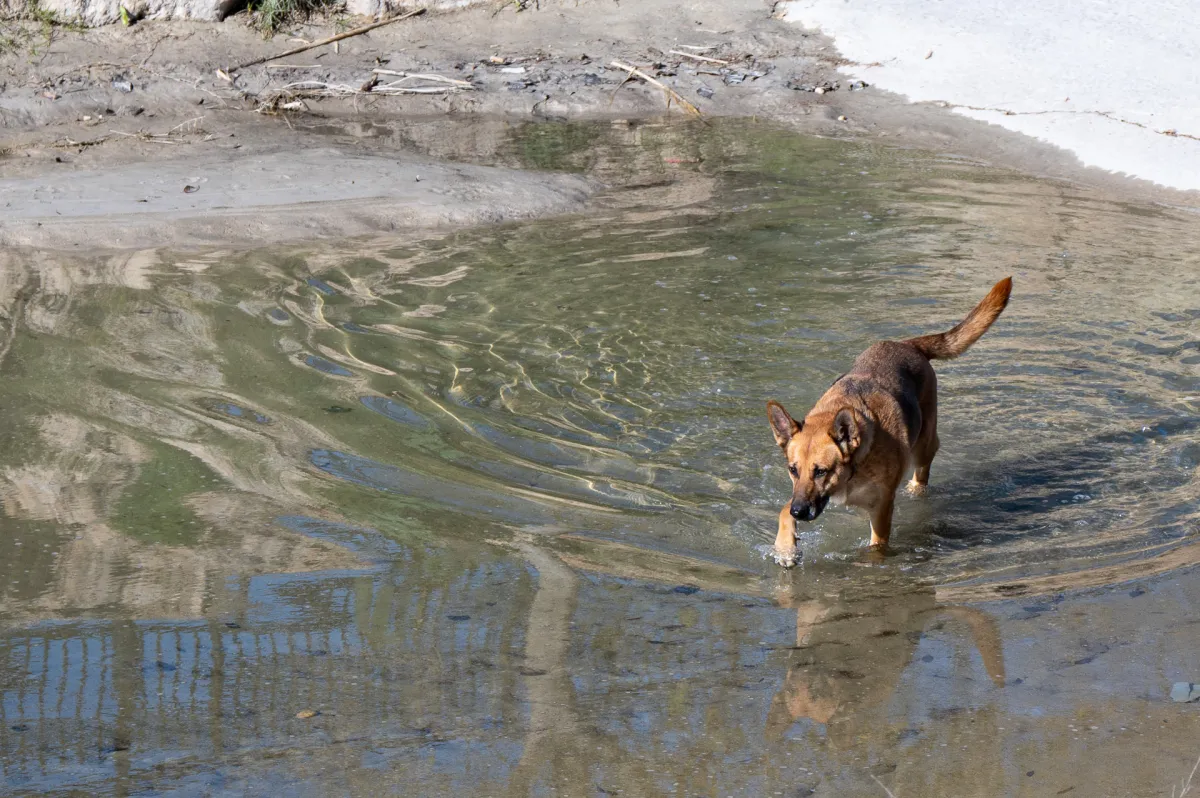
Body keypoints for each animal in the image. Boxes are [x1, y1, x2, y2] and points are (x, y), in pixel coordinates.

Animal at [763, 277, 1008, 564]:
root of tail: (909, 345)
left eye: (821, 471)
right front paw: (785, 547)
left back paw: (916, 488)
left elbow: (877, 545)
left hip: (923, 445)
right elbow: (782, 510)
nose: (799, 512)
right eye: (793, 470)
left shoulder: (881, 507)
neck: (856, 466)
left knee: (924, 466)